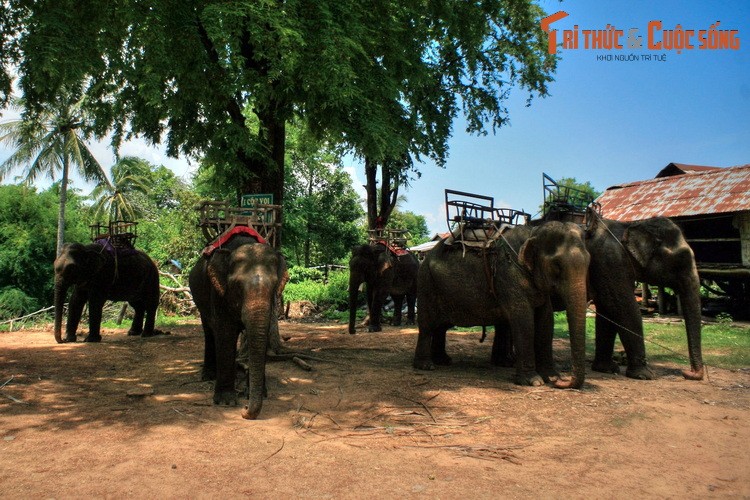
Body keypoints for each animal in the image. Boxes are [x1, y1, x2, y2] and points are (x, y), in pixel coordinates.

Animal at [189, 233, 290, 418]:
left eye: (274, 285)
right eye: (237, 285)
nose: (244, 409)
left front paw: (257, 392)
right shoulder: (219, 293)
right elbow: (226, 332)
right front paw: (225, 401)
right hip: (199, 299)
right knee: (209, 331)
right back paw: (209, 375)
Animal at [414, 221, 592, 388]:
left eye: (589, 262)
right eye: (557, 265)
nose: (563, 381)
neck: (533, 231)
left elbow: (546, 321)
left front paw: (551, 377)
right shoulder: (508, 273)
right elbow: (524, 320)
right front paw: (534, 381)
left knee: (442, 326)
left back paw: (443, 361)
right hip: (426, 283)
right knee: (428, 325)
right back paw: (426, 366)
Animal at [588, 210, 704, 378]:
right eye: (682, 258)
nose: (688, 373)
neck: (629, 226)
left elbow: (607, 310)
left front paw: (607, 369)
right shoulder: (610, 262)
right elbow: (623, 308)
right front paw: (645, 375)